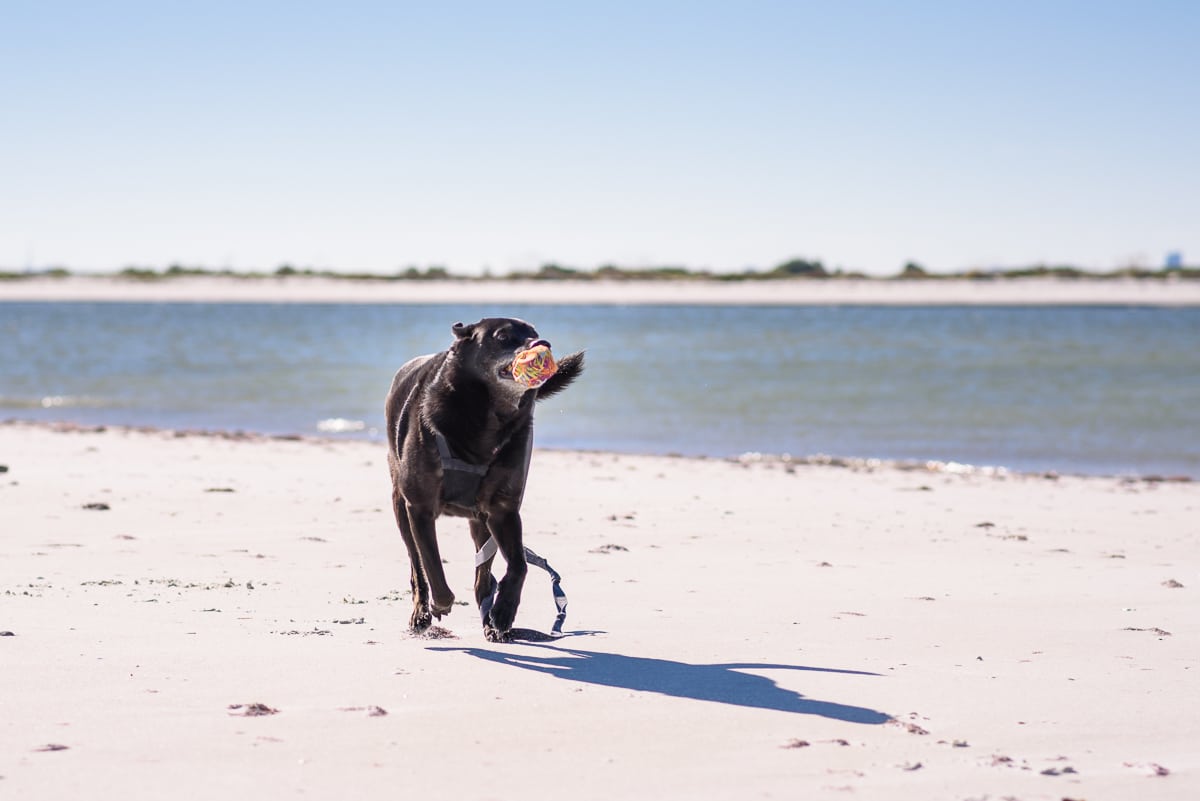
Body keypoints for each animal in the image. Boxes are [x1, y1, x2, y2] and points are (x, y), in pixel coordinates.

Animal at [386, 316, 583, 642]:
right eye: (503, 336)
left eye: (535, 333)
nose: (544, 344)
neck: (487, 418)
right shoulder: (420, 508)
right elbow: (432, 564)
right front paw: (441, 603)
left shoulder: (503, 510)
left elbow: (518, 565)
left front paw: (504, 610)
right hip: (401, 506)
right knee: (417, 566)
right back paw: (422, 614)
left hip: (480, 522)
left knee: (483, 576)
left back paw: (491, 619)